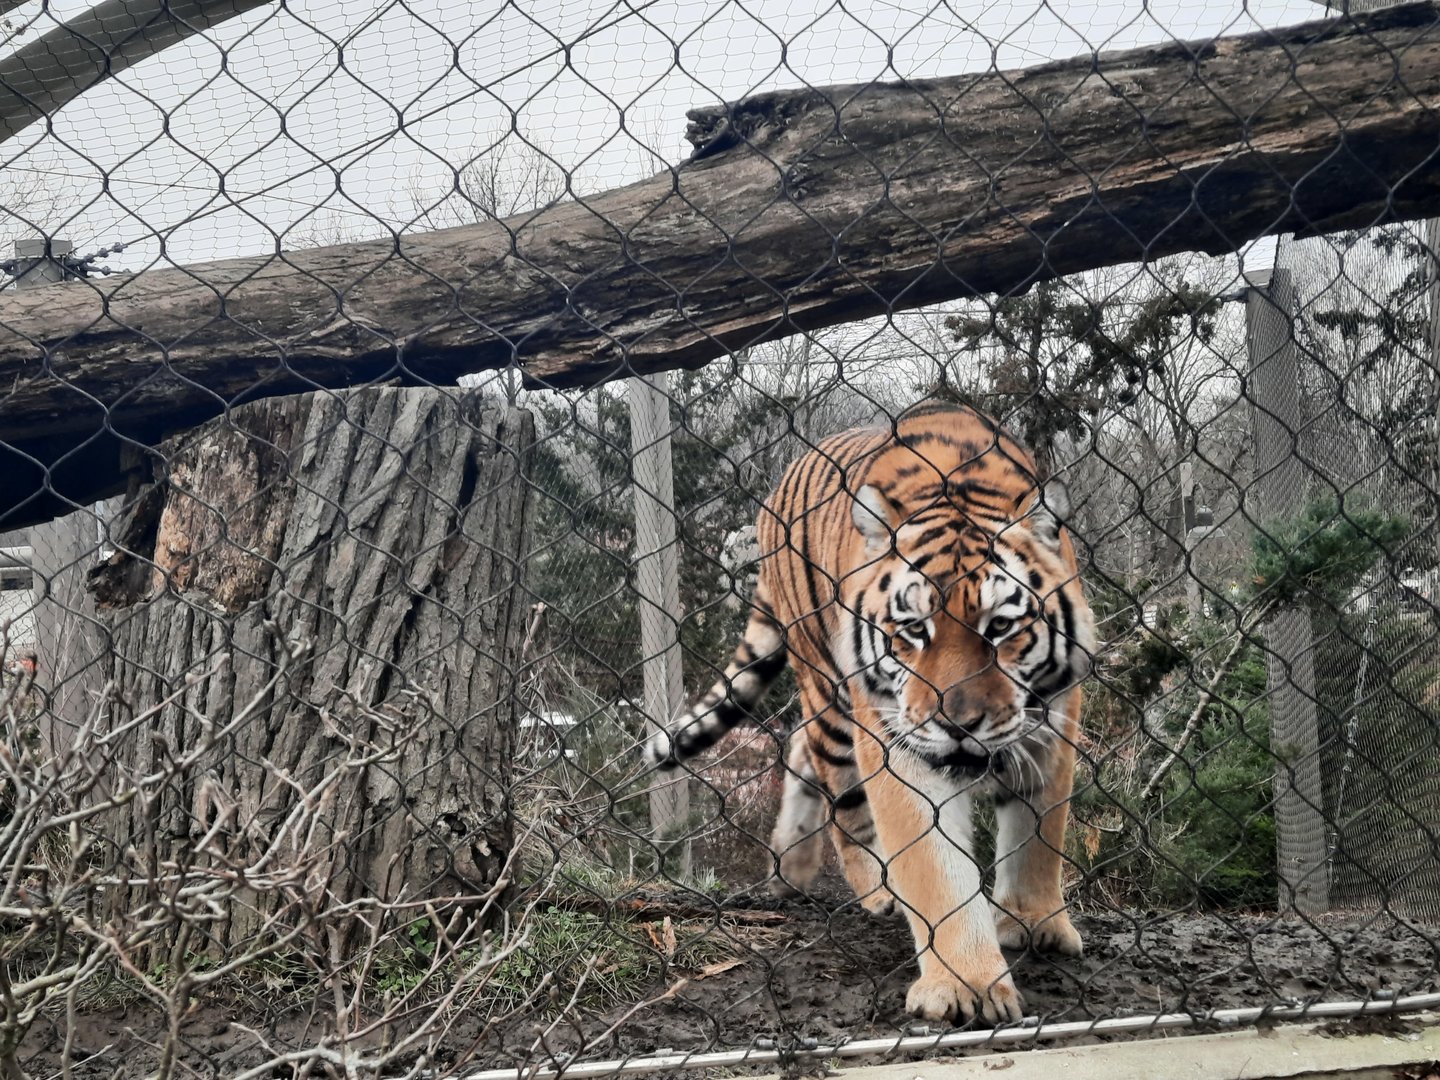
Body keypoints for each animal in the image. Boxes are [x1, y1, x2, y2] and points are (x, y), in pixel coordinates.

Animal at [643, 402, 1096, 1027]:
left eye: (1001, 627)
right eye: (914, 630)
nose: (958, 725)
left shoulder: (1053, 720)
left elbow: (1039, 834)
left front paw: (1034, 923)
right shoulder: (898, 738)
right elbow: (934, 869)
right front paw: (967, 985)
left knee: (797, 748)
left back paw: (789, 869)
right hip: (830, 691)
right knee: (838, 792)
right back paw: (874, 887)